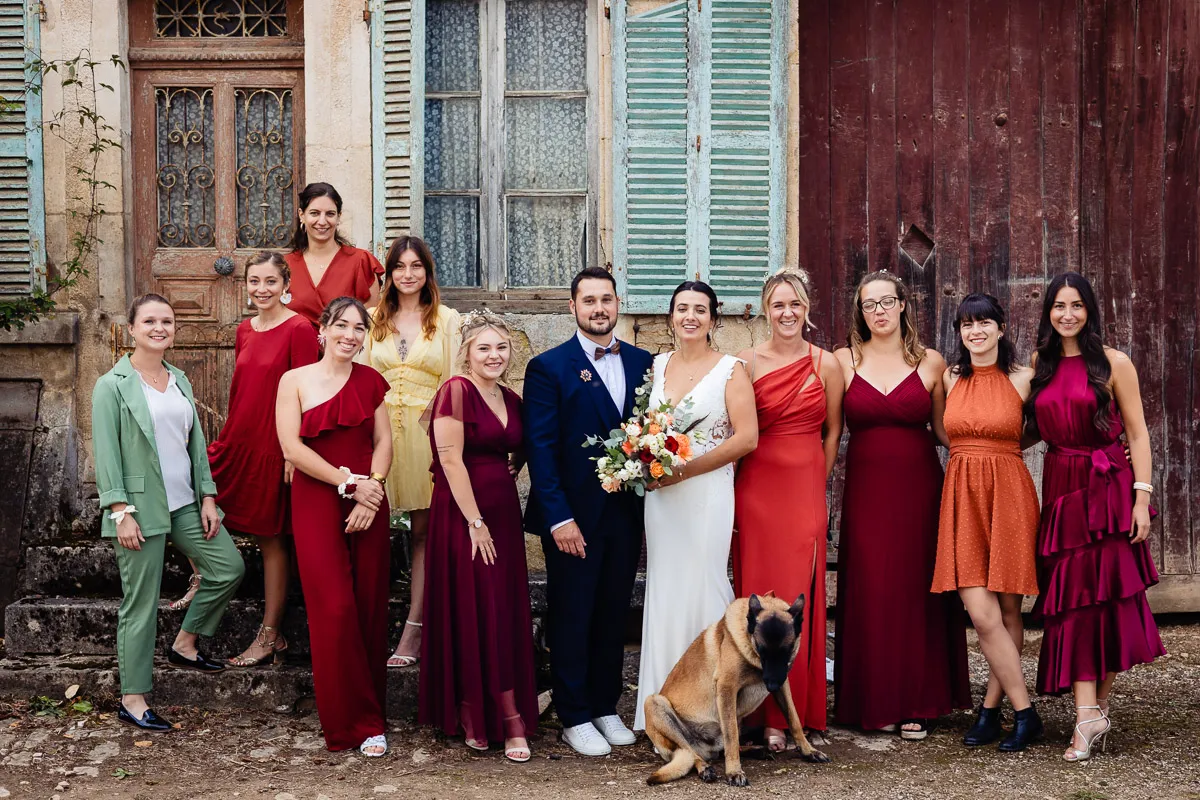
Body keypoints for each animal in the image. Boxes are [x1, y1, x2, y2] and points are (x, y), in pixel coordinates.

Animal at [643, 594, 830, 786]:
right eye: (761, 650)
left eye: (787, 650)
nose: (771, 686)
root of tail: (707, 748)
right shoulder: (727, 687)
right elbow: (731, 736)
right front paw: (734, 771)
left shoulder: (783, 685)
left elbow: (794, 719)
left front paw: (809, 750)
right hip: (654, 703)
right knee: (692, 752)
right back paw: (704, 767)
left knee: (721, 749)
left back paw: (756, 750)